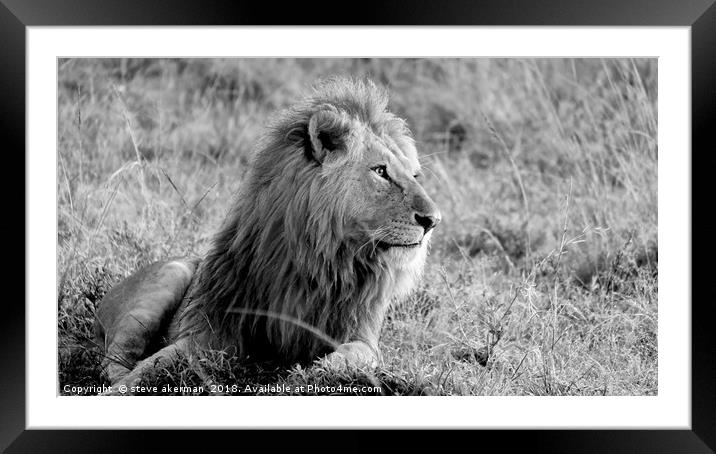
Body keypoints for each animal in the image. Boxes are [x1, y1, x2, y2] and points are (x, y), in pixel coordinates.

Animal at [93, 76, 442, 392]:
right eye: (381, 171)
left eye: (414, 176)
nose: (433, 221)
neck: (321, 260)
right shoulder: (209, 329)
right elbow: (159, 360)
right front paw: (129, 385)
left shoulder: (362, 334)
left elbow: (355, 354)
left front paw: (316, 372)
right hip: (170, 276)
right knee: (115, 360)